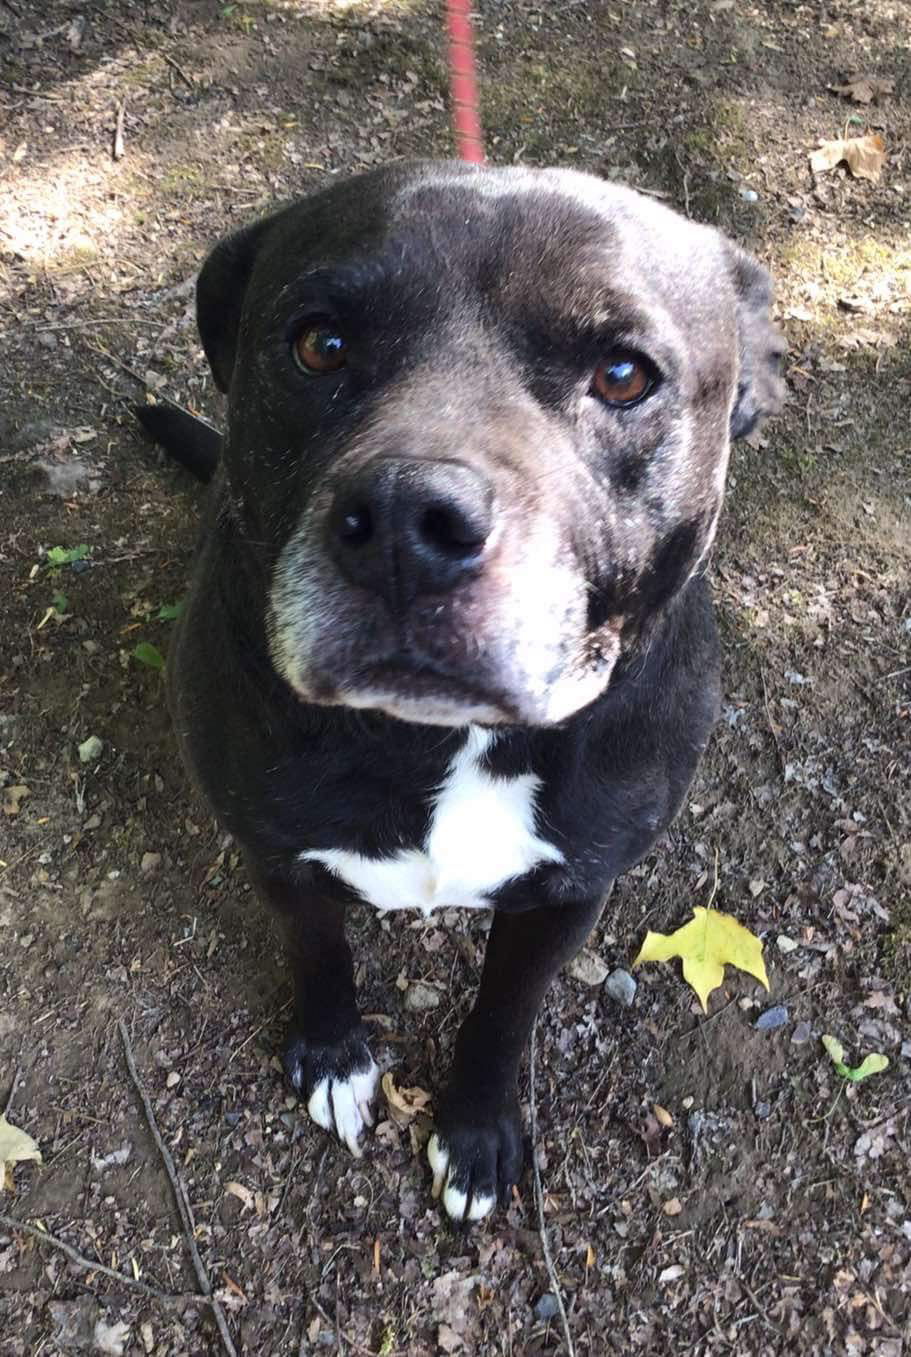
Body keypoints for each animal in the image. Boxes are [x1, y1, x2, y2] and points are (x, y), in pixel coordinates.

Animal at [139, 158, 787, 1221]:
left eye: (622, 375)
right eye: (319, 344)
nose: (409, 520)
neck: (440, 739)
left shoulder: (570, 889)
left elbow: (505, 1011)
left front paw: (477, 1128)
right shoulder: (276, 847)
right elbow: (317, 949)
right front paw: (333, 1052)